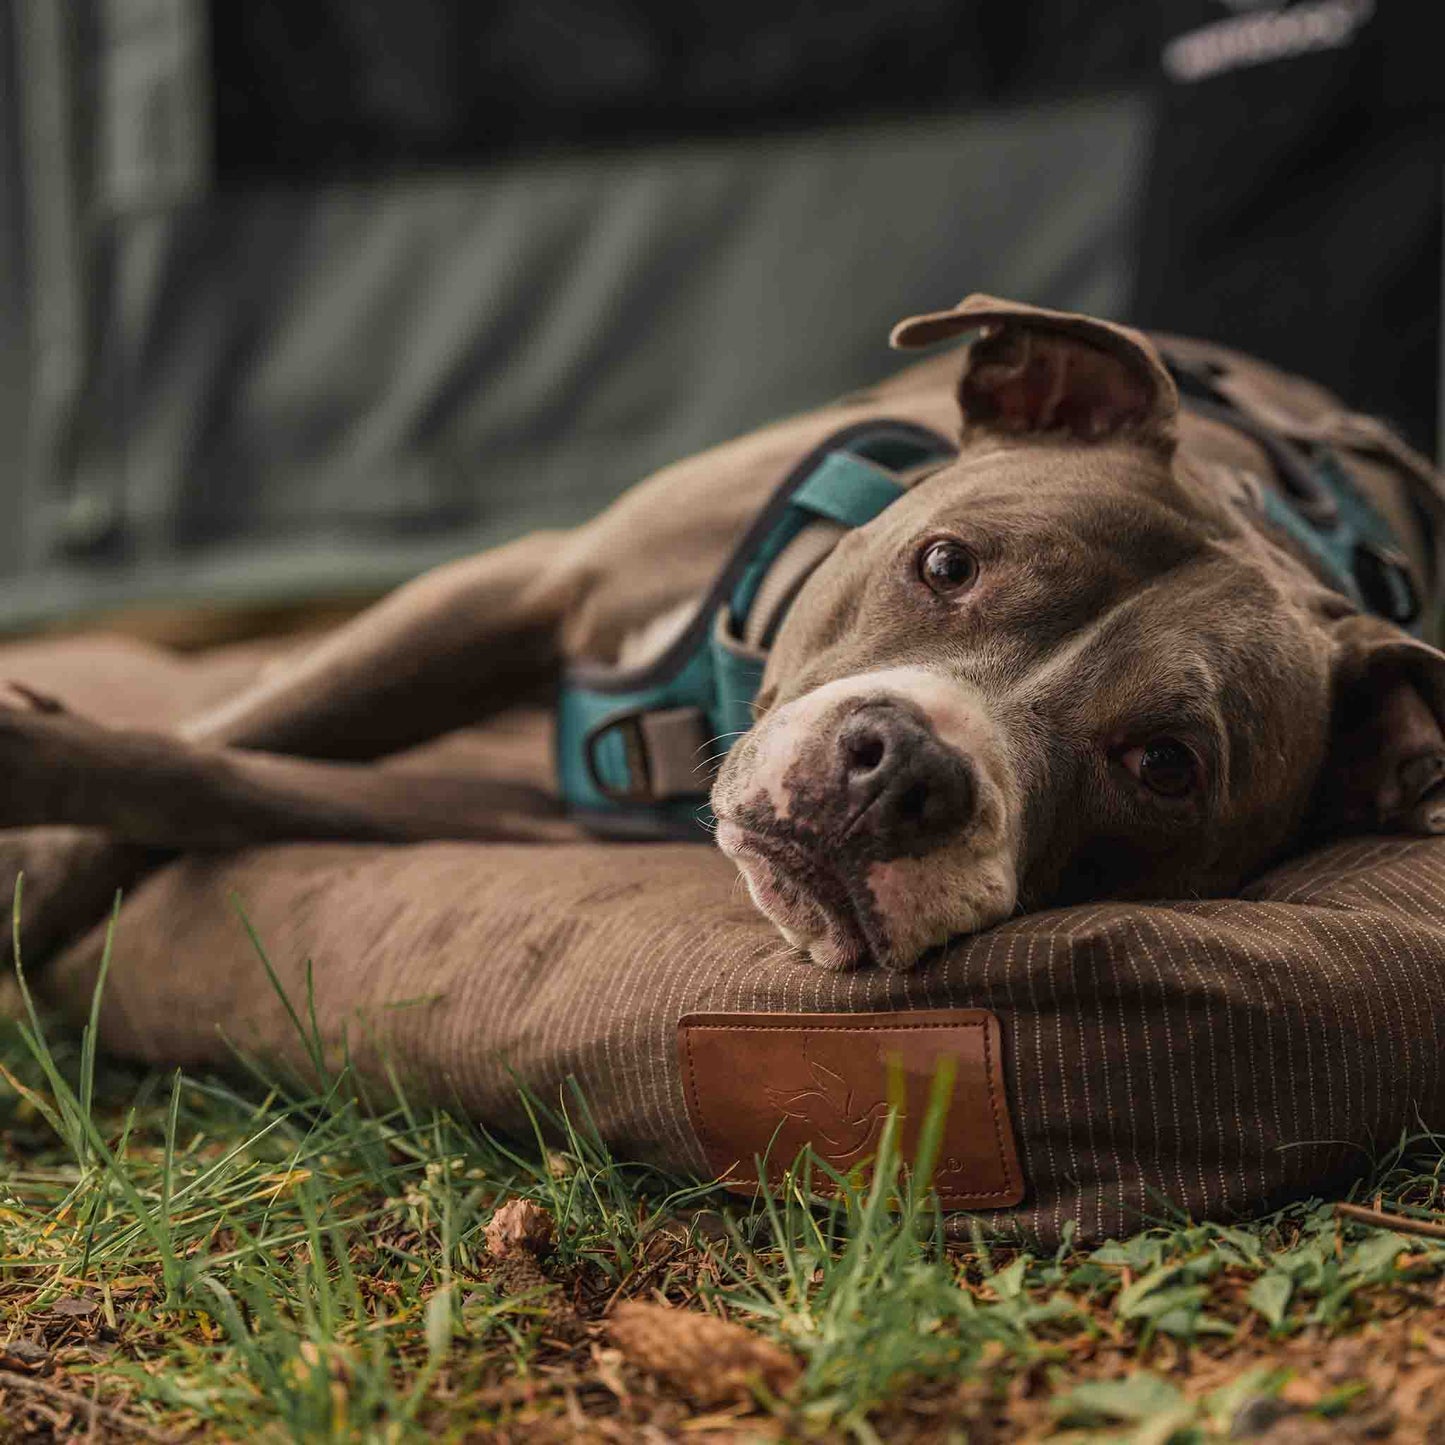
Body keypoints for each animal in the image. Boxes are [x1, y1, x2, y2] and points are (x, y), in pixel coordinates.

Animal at [2, 293, 1445, 971]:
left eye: (1166, 767)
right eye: (945, 563)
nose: (901, 772)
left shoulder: (534, 812)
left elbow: (231, 781)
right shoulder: (518, 590)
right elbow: (218, 751)